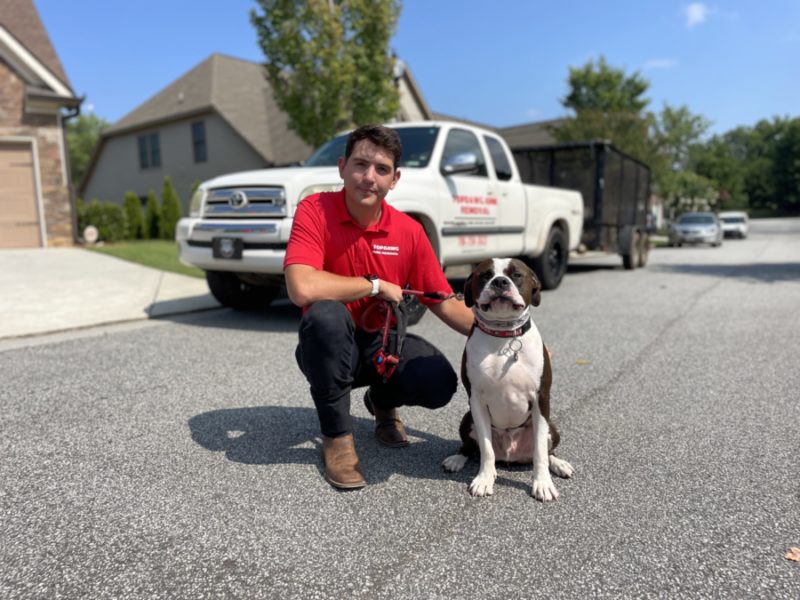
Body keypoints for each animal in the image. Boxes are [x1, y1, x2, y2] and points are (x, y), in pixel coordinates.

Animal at [440, 255, 572, 500]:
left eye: (516, 274)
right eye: (485, 275)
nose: (500, 282)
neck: (503, 336)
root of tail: (512, 454)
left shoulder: (541, 399)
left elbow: (540, 451)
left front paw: (542, 483)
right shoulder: (477, 402)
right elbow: (486, 448)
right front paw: (484, 479)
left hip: (553, 427)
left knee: (548, 450)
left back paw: (559, 464)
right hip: (466, 419)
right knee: (470, 447)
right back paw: (457, 459)